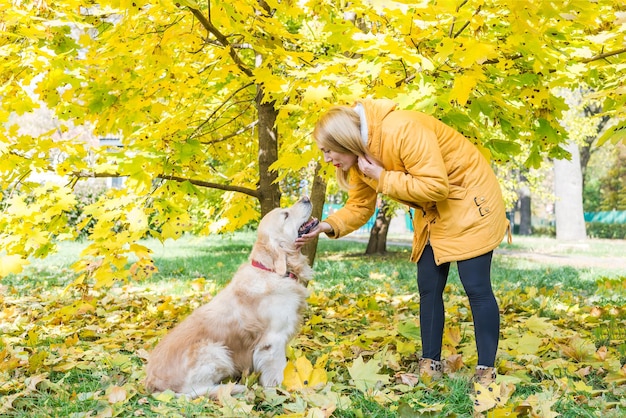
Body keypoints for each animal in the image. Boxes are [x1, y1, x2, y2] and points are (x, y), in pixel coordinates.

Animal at [143, 198, 316, 400]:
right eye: (286, 215)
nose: (306, 198)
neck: (271, 271)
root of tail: (153, 385)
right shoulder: (273, 340)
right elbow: (277, 371)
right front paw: (282, 391)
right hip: (216, 351)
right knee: (192, 393)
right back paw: (232, 388)